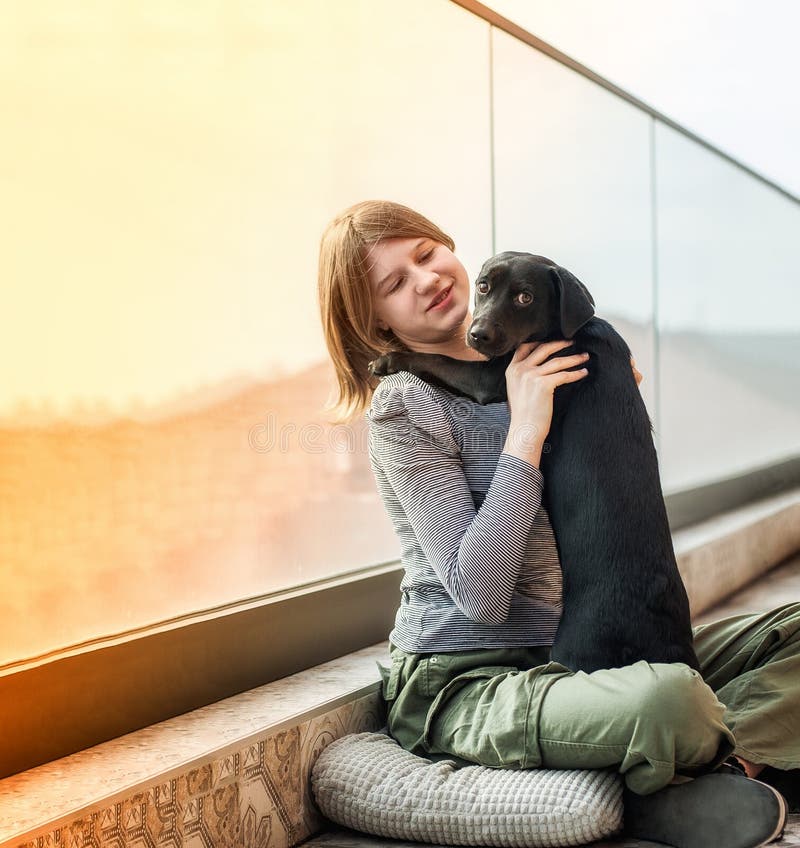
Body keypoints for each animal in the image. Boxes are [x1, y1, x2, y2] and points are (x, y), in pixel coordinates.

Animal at [370, 252, 700, 676]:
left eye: (525, 297)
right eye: (483, 286)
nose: (477, 335)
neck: (572, 333)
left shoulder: (491, 378)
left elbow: (438, 358)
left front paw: (390, 358)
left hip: (576, 650)